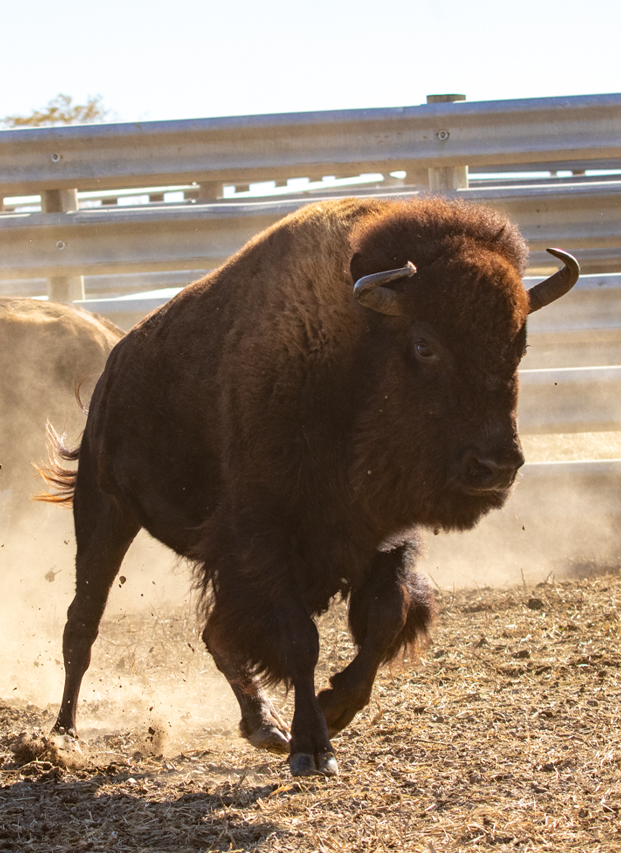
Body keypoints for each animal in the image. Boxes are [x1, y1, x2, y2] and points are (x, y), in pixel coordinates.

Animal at [39, 196, 579, 776]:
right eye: (423, 345)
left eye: (519, 344)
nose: (497, 465)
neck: (354, 353)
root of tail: (112, 371)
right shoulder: (265, 540)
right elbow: (301, 641)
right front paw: (313, 747)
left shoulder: (384, 537)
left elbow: (387, 617)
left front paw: (333, 708)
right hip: (105, 511)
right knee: (82, 628)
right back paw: (63, 739)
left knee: (213, 634)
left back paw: (262, 725)